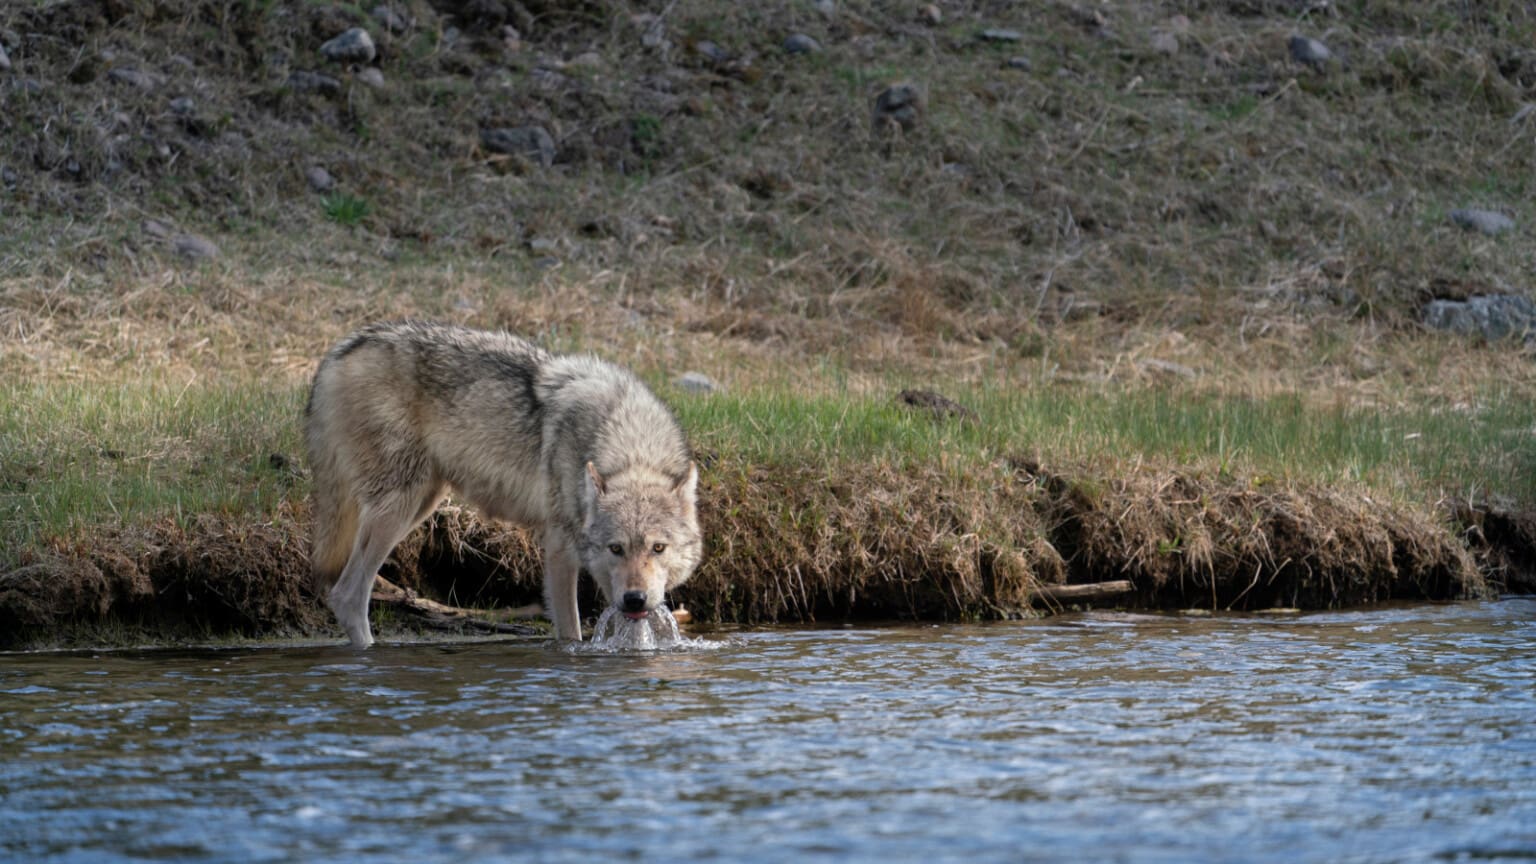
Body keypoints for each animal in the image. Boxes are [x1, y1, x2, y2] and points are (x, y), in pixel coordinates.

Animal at [301, 319, 706, 642]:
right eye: (616, 548)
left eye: (658, 548)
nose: (635, 598)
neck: (631, 449)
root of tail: (338, 352)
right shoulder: (559, 548)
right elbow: (571, 634)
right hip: (397, 509)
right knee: (347, 595)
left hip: (420, 504)